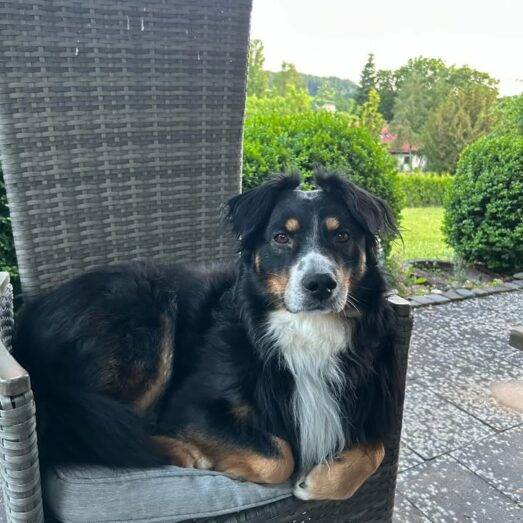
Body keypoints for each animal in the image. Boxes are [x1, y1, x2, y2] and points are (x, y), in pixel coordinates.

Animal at [14, 169, 400, 501]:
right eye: (281, 237)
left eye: (342, 236)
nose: (320, 284)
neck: (305, 330)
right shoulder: (192, 404)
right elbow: (278, 457)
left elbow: (377, 446)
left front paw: (325, 477)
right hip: (144, 327)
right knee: (101, 429)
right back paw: (184, 452)